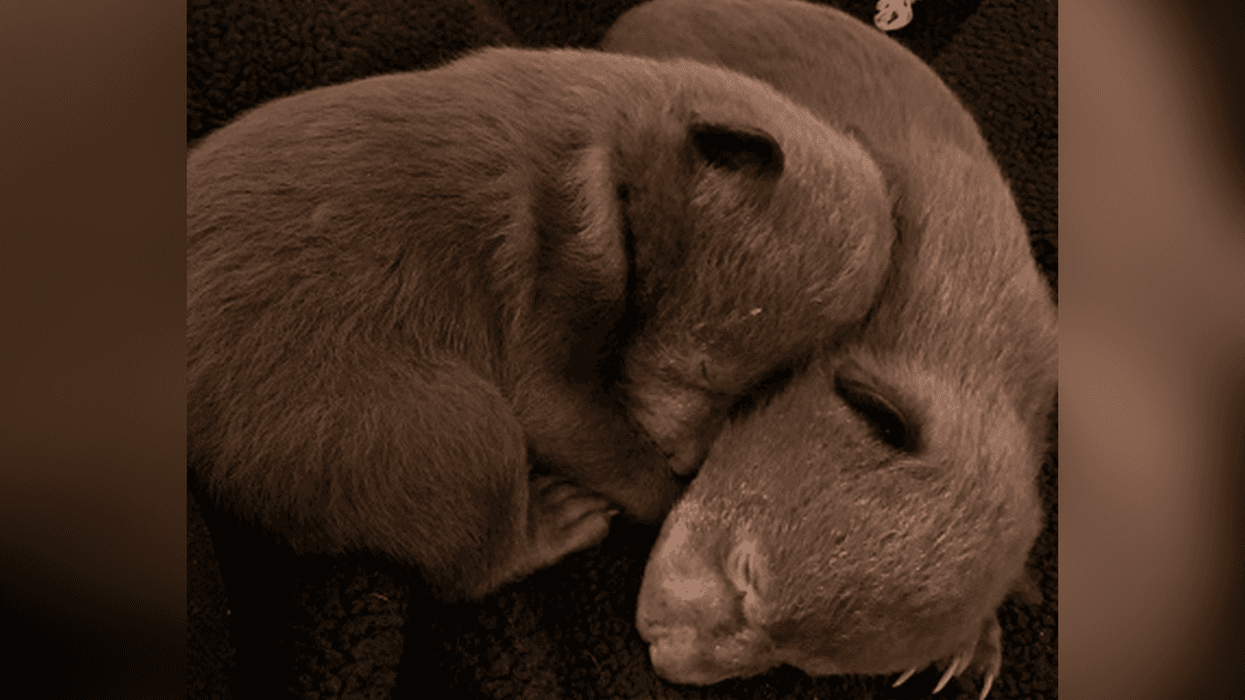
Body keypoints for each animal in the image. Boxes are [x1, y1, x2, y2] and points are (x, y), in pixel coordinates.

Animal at [187, 45, 896, 601]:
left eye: (752, 392)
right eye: (704, 369)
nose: (688, 459)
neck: (616, 148)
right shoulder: (564, 255)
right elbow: (558, 409)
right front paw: (667, 494)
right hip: (388, 417)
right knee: (467, 544)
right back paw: (556, 519)